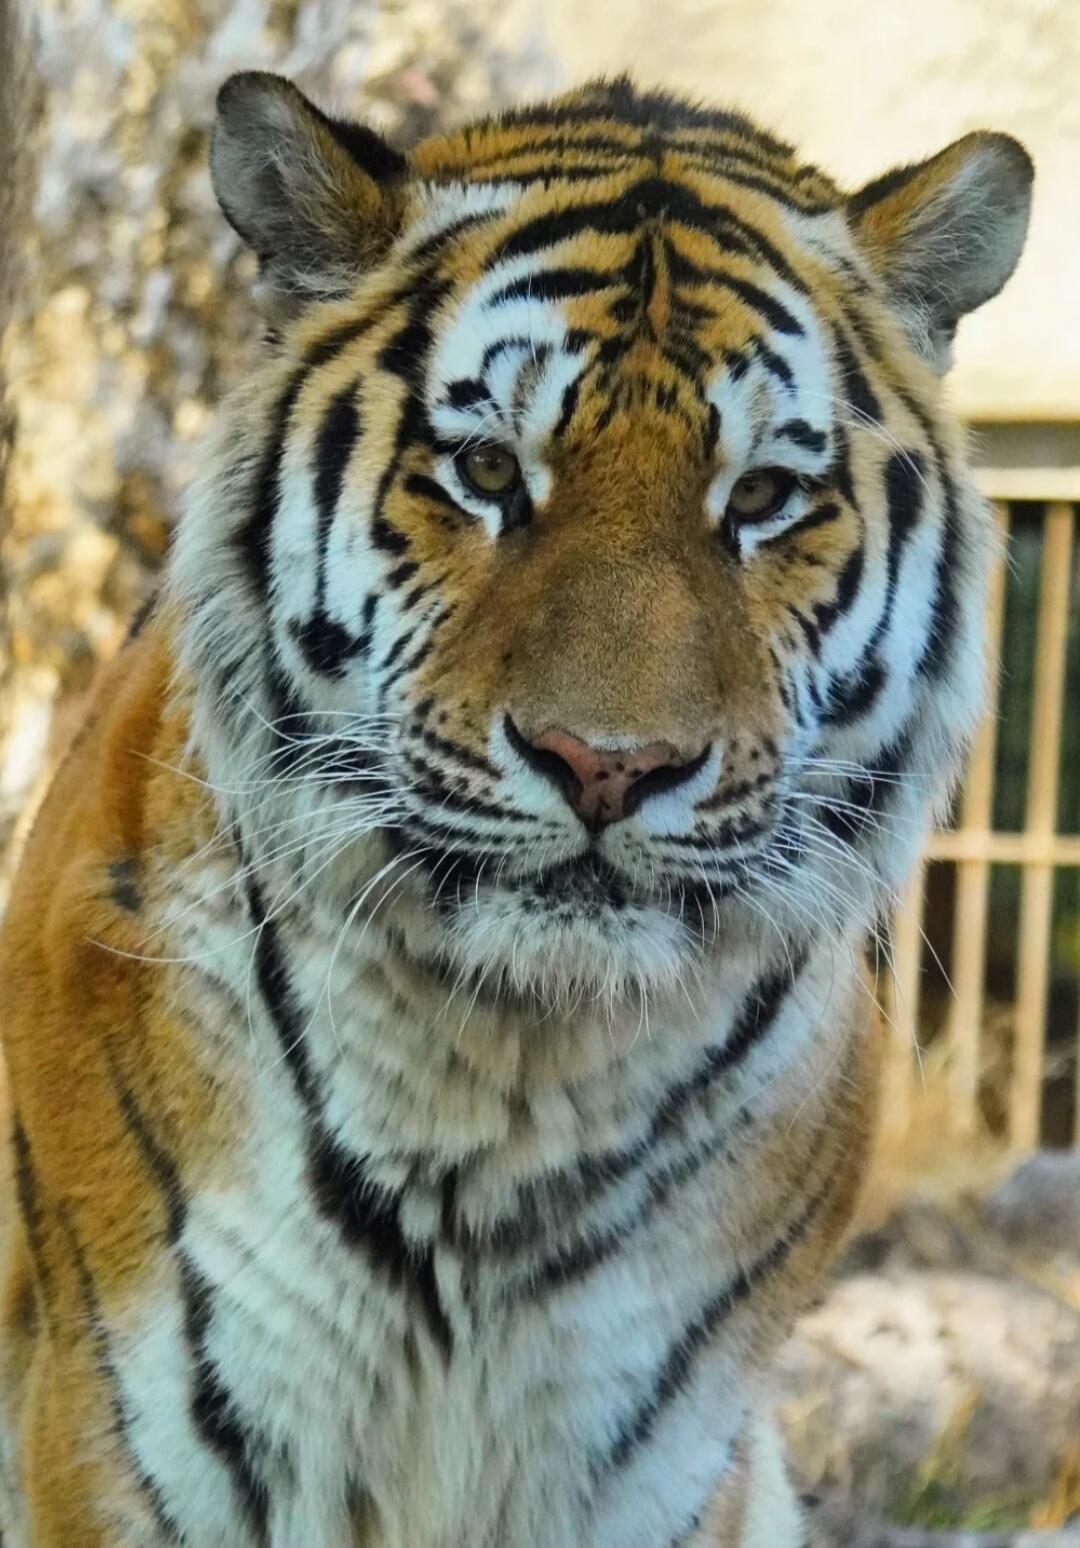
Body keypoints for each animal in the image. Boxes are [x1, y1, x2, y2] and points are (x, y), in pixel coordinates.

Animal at [0, 69, 1031, 1548]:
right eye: (488, 474)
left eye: (763, 498)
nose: (607, 764)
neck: (508, 1088)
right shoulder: (131, 1432)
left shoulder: (656, 1461)